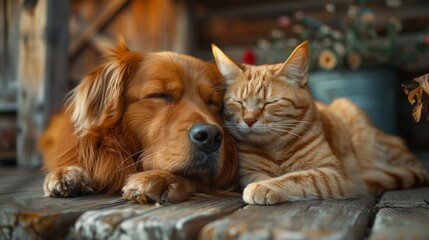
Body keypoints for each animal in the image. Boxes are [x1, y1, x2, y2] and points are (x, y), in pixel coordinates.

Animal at [211, 41, 428, 204]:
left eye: (270, 103)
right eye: (238, 102)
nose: (249, 120)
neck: (275, 148)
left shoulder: (333, 175)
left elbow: (299, 177)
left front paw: (264, 186)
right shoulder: (248, 172)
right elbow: (258, 176)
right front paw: (261, 183)